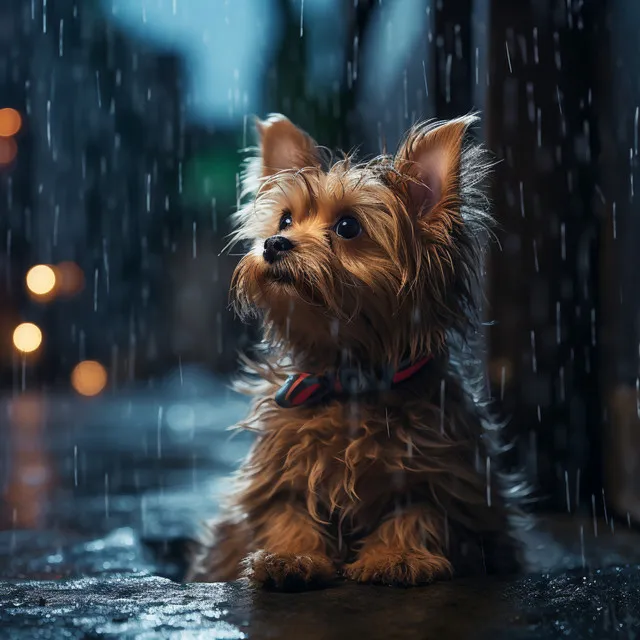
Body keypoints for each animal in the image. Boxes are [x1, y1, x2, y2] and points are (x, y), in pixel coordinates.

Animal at [188, 112, 528, 588]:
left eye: (348, 227)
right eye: (285, 221)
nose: (274, 244)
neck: (346, 379)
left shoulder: (442, 472)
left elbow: (417, 512)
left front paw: (396, 556)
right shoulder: (279, 474)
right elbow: (288, 512)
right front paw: (290, 557)